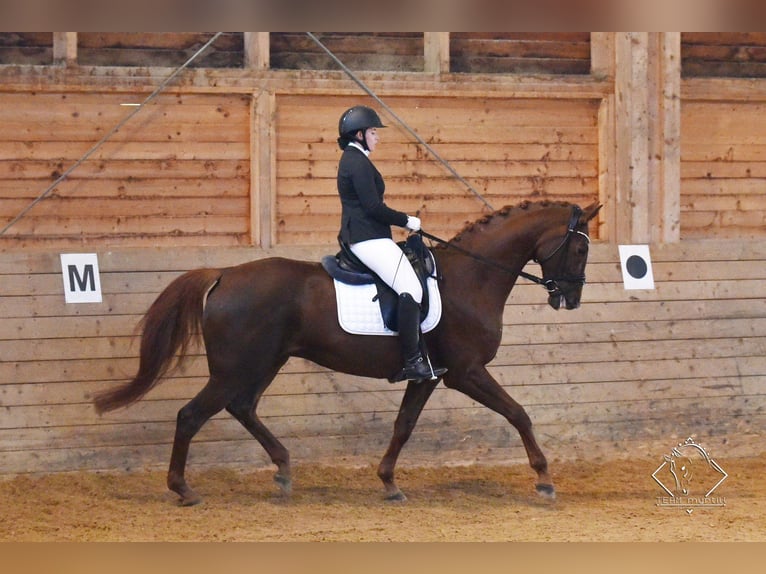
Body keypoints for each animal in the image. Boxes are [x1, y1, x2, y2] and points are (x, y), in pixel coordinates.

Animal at [93, 200, 604, 506]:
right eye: (580, 249)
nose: (571, 299)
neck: (470, 278)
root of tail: (223, 274)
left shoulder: (429, 374)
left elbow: (403, 426)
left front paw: (389, 482)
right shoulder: (465, 372)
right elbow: (519, 413)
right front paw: (544, 478)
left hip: (263, 363)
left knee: (242, 407)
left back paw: (283, 471)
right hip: (236, 368)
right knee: (191, 415)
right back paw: (183, 489)